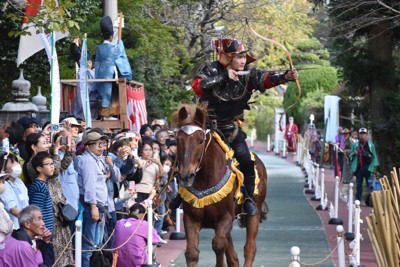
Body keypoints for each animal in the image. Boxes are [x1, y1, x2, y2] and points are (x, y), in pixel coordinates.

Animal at [171, 104, 268, 267]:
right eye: (178, 140)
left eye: (200, 141)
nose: (186, 175)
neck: (205, 180)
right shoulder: (192, 219)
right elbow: (192, 253)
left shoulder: (225, 218)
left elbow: (218, 245)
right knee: (233, 256)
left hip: (254, 212)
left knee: (249, 248)